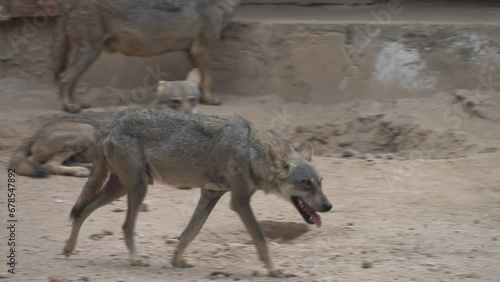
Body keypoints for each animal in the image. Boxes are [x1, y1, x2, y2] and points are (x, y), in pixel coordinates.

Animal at [9, 69, 202, 177]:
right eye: (175, 102)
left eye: (192, 100)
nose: (190, 117)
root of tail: (36, 132)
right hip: (87, 131)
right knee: (48, 165)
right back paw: (79, 171)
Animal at [53, 0, 243, 112]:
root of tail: (71, 4)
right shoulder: (201, 48)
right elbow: (208, 78)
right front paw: (210, 99)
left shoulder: (191, 51)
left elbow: (197, 79)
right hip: (88, 52)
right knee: (65, 78)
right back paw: (69, 106)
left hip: (89, 54)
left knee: (71, 79)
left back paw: (77, 103)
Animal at [62, 108, 334, 278]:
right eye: (306, 183)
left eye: (320, 182)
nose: (328, 206)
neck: (251, 151)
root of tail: (112, 124)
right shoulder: (240, 202)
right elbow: (261, 238)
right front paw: (274, 271)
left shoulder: (210, 195)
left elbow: (189, 233)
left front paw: (176, 261)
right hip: (137, 189)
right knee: (125, 225)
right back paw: (135, 259)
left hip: (120, 188)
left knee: (81, 211)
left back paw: (68, 248)